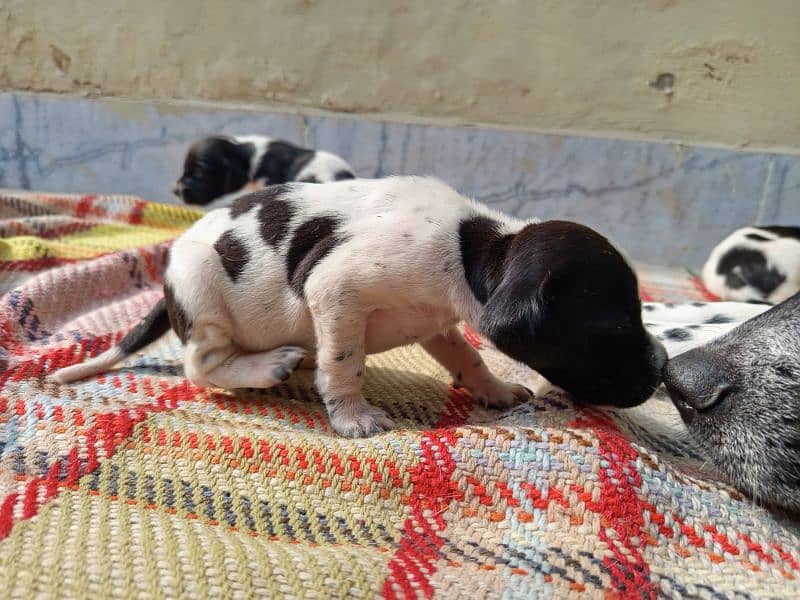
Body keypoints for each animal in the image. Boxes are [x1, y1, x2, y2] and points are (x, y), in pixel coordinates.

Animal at [53, 176, 668, 438]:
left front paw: (492, 389)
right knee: (201, 367)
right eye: (617, 325)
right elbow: (344, 362)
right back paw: (268, 365)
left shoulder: (436, 324)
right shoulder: (337, 290)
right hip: (205, 296)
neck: (476, 251)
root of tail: (166, 286)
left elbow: (468, 358)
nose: (664, 367)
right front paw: (353, 416)